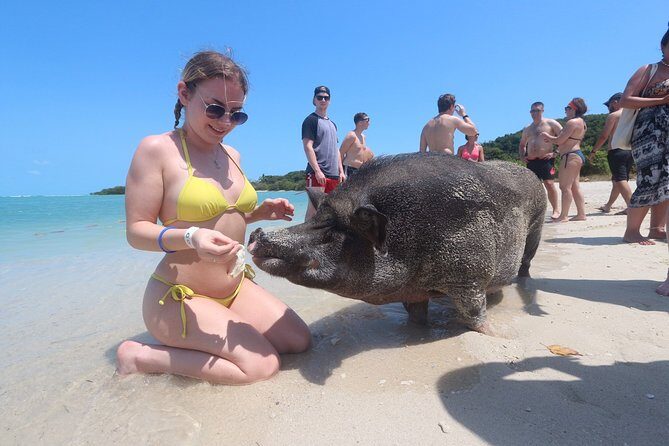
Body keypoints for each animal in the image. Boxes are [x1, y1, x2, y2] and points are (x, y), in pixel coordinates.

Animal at [248, 153, 546, 333]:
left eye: (333, 230)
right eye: (316, 218)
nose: (256, 234)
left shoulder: (470, 276)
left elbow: (474, 315)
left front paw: (495, 335)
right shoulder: (414, 291)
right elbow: (415, 315)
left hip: (537, 227)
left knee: (526, 263)